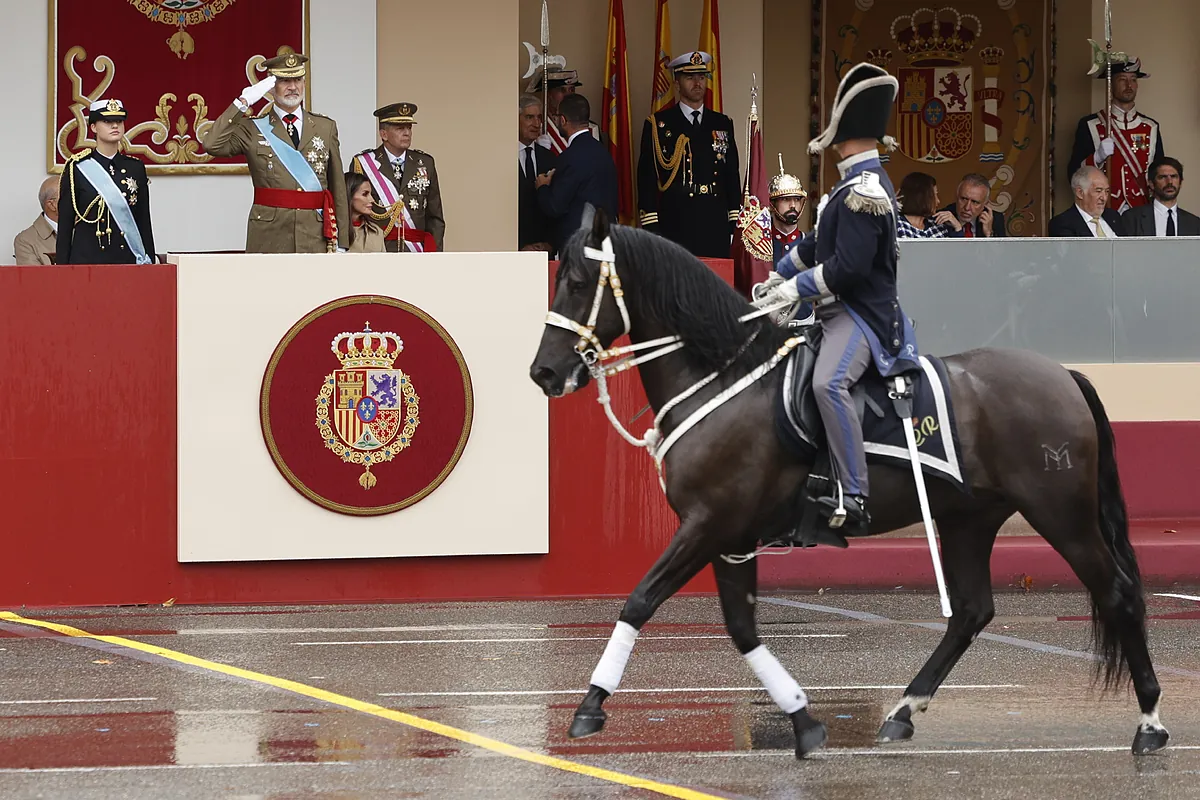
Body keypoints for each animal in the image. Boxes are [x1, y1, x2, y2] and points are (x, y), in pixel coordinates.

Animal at [530, 209, 1166, 762]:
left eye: (580, 281)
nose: (544, 372)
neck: (723, 379)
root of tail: (1064, 375)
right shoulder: (730, 538)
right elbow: (741, 628)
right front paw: (803, 721)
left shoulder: (708, 523)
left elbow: (641, 600)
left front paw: (589, 707)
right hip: (968, 517)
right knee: (971, 611)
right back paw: (903, 711)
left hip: (1061, 513)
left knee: (1117, 593)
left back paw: (1150, 723)